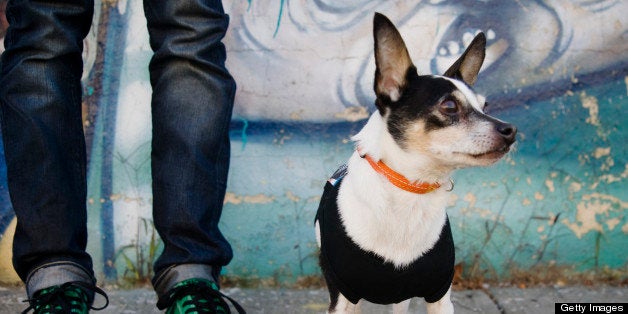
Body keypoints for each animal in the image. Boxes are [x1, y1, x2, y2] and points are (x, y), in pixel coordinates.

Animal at [314, 12, 516, 314]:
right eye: (449, 106)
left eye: (485, 106)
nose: (511, 130)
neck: (411, 189)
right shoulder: (342, 298)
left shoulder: (439, 295)